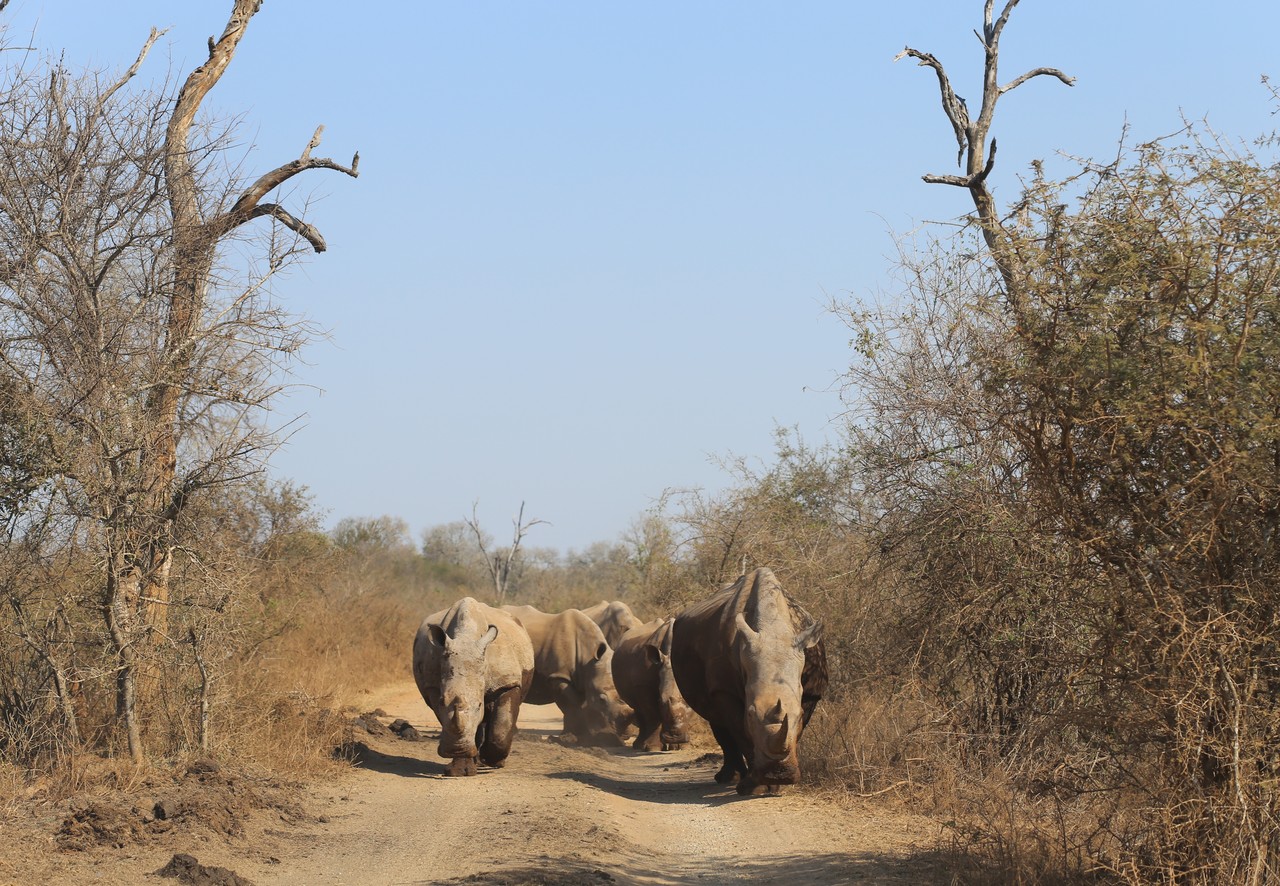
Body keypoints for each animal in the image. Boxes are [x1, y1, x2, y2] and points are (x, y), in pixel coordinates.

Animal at [412, 597, 535, 776]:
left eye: (478, 705)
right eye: (442, 701)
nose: (456, 750)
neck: (466, 636)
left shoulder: (506, 682)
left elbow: (500, 727)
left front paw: (491, 760)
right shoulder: (433, 686)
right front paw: (459, 770)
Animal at [502, 605, 634, 745]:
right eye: (601, 699)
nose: (625, 735)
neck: (588, 657)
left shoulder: (584, 678)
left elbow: (579, 705)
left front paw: (577, 736)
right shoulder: (559, 676)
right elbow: (572, 705)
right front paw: (571, 737)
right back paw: (515, 734)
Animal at [611, 617, 695, 751]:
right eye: (660, 700)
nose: (675, 737)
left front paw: (680, 746)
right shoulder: (643, 684)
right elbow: (652, 714)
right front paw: (652, 748)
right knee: (637, 709)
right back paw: (639, 746)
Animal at [671, 568, 827, 795]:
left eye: (798, 714)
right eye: (751, 714)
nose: (779, 773)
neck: (773, 630)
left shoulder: (811, 691)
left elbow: (796, 731)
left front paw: (777, 786)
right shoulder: (723, 689)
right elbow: (740, 729)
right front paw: (755, 787)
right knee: (716, 719)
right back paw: (729, 779)